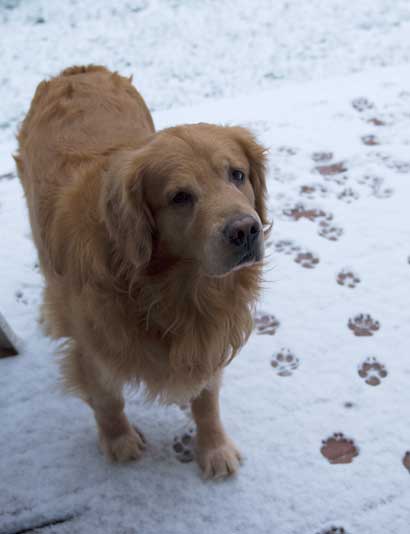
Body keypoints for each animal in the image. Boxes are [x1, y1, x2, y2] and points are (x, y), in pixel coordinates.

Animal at [16, 66, 270, 482]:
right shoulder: (94, 349)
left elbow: (206, 400)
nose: (246, 230)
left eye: (237, 175)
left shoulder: (208, 339)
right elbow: (107, 401)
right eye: (180, 197)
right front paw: (119, 441)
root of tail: (77, 70)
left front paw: (214, 448)